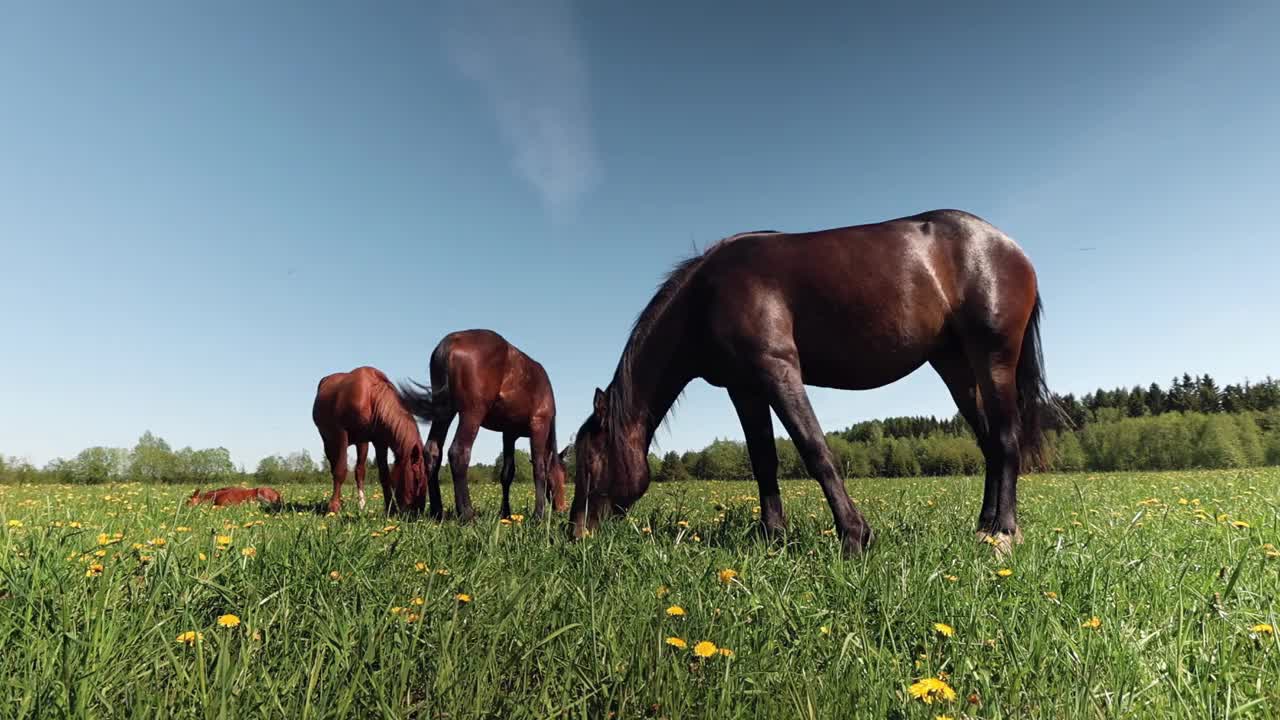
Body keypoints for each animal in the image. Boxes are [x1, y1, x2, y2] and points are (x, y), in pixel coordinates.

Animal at [311, 366, 427, 512]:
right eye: (417, 480)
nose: (418, 512)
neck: (371, 396)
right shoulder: (341, 433)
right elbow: (340, 470)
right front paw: (334, 507)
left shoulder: (379, 442)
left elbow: (384, 474)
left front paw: (389, 509)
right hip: (329, 441)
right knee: (334, 466)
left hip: (361, 443)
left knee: (359, 471)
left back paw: (361, 504)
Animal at [394, 327, 565, 517]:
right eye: (563, 479)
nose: (562, 508)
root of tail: (450, 341)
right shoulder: (539, 427)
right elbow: (539, 469)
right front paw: (538, 515)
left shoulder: (509, 435)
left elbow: (507, 473)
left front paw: (506, 513)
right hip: (472, 413)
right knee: (459, 453)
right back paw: (467, 514)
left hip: (444, 414)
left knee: (432, 452)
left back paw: (437, 512)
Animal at [570, 208, 1049, 556]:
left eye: (591, 461)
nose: (574, 534)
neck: (705, 297)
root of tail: (1010, 247)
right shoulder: (745, 388)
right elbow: (763, 461)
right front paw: (772, 536)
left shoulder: (777, 369)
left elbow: (814, 449)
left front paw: (855, 536)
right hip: (954, 365)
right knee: (989, 443)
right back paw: (984, 526)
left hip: (994, 358)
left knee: (1006, 440)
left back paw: (1003, 533)